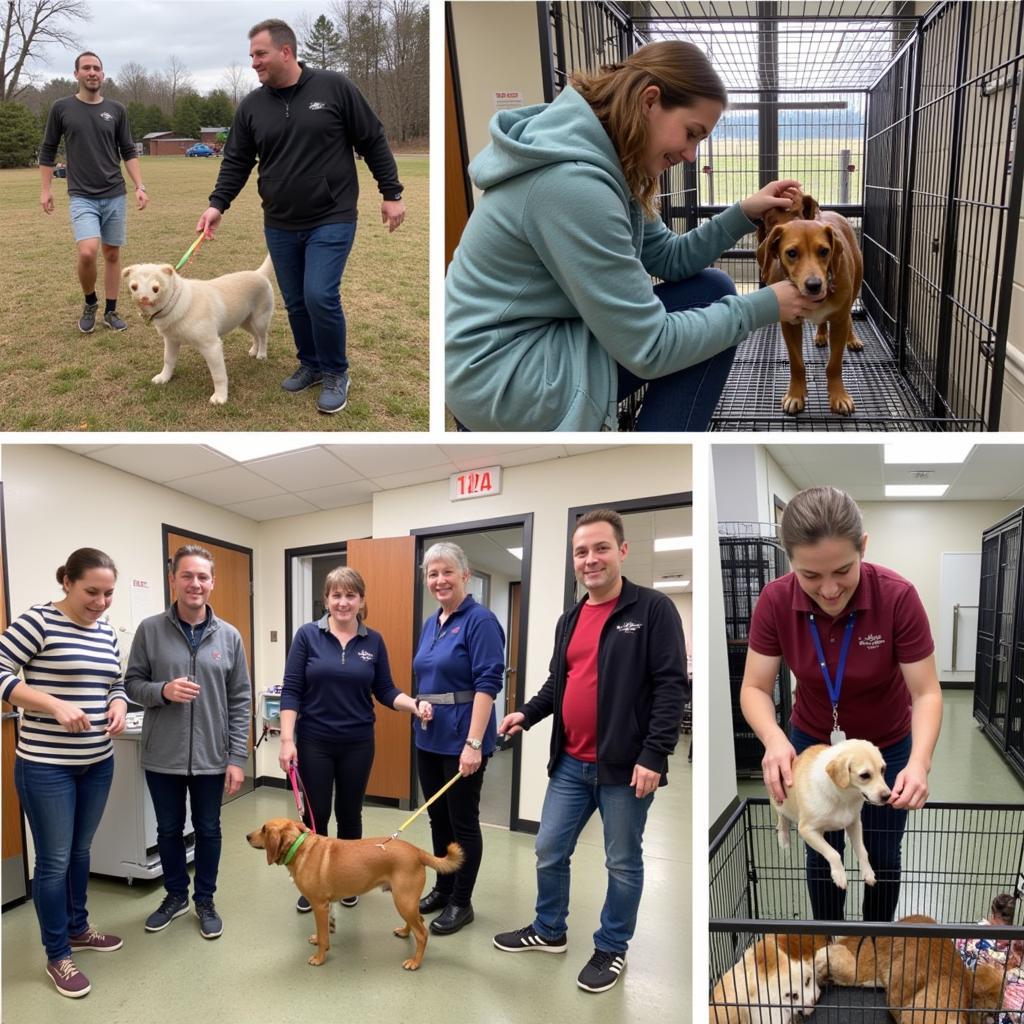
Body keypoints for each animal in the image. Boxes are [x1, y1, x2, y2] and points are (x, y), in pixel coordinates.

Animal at [122, 251, 276, 403]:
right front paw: (163, 378)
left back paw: (261, 354)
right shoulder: (171, 340)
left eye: (156, 289)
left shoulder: (211, 347)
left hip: (259, 321)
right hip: (245, 322)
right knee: (255, 336)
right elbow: (168, 360)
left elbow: (218, 375)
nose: (143, 299)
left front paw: (220, 397)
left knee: (263, 336)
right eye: (134, 287)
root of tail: (259, 273)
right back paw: (254, 350)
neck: (176, 302)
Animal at [249, 819, 466, 970]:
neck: (300, 848)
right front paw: (319, 940)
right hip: (406, 901)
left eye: (264, 829)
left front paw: (320, 957)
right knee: (417, 921)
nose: (247, 836)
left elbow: (324, 935)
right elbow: (324, 930)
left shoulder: (319, 906)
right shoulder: (325, 907)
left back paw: (415, 962)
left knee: (422, 933)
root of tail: (417, 851)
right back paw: (405, 932)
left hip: (403, 901)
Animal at [753, 192, 864, 415]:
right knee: (822, 322)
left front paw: (839, 396)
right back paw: (821, 335)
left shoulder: (839, 321)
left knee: (849, 316)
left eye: (824, 251)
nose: (814, 285)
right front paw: (795, 395)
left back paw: (852, 339)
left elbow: (834, 364)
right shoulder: (790, 324)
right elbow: (797, 364)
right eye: (791, 253)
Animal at [774, 741, 888, 892]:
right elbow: (834, 853)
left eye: (882, 770)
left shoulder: (855, 824)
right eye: (864, 775)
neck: (844, 798)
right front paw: (839, 875)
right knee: (782, 820)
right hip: (779, 802)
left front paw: (867, 872)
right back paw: (784, 839)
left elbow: (863, 851)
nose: (888, 796)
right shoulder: (806, 830)